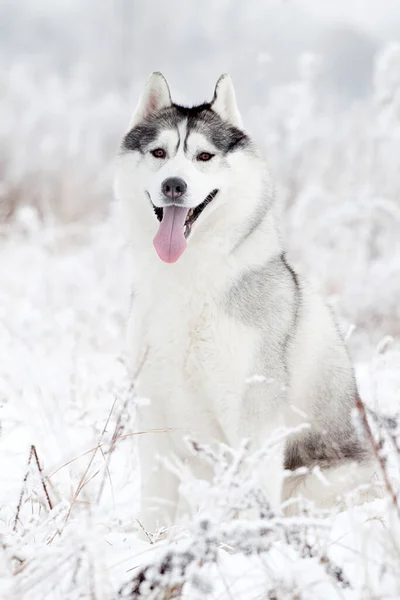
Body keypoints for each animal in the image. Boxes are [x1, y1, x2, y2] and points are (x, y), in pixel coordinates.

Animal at [114, 71, 376, 536]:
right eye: (159, 152)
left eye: (203, 156)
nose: (173, 185)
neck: (188, 279)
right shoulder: (152, 407)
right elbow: (156, 504)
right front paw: (151, 542)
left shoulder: (253, 413)